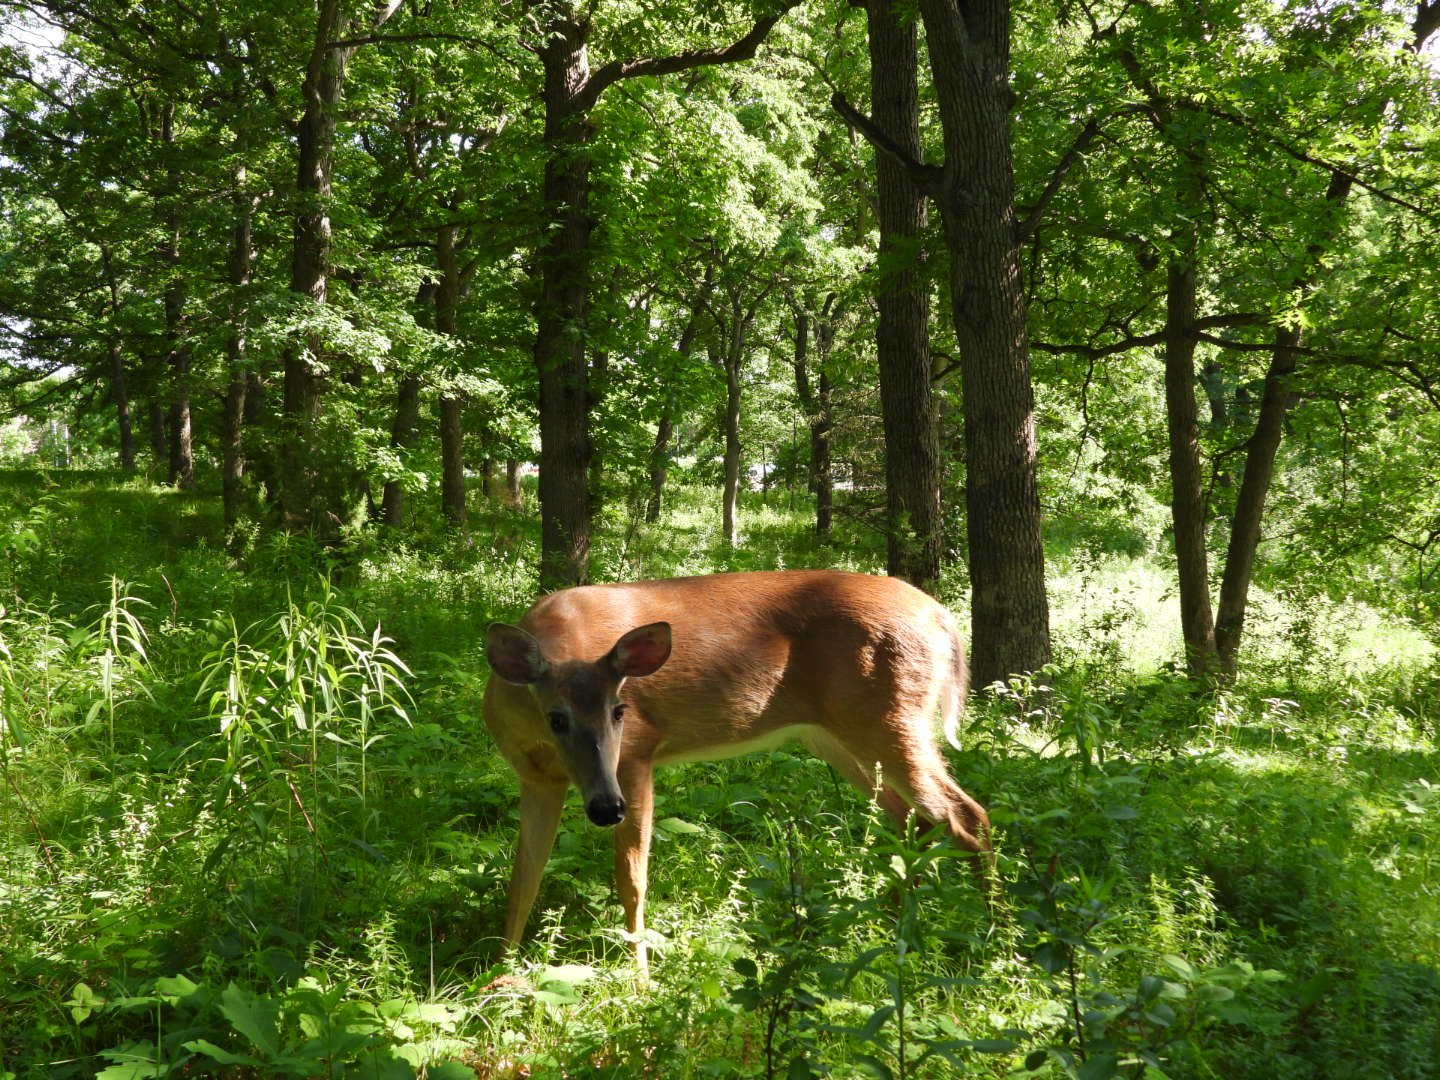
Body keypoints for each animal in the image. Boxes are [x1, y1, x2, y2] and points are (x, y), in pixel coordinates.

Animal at [483, 569, 991, 974]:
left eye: (619, 710)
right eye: (557, 718)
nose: (606, 807)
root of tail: (942, 617)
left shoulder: (636, 757)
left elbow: (631, 878)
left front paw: (640, 976)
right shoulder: (537, 779)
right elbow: (524, 876)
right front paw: (499, 973)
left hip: (890, 719)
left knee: (965, 814)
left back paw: (989, 935)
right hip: (838, 737)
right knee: (912, 820)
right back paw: (887, 926)